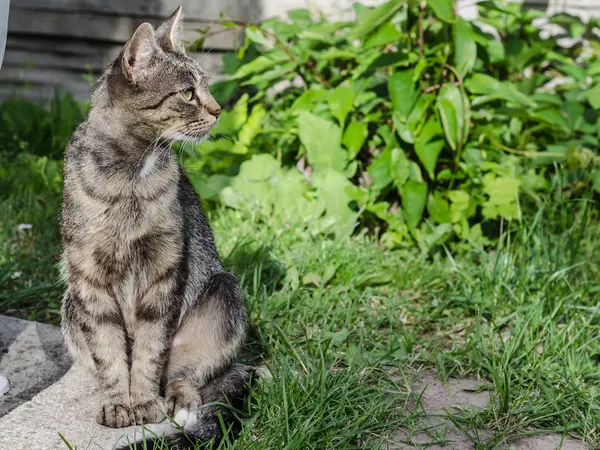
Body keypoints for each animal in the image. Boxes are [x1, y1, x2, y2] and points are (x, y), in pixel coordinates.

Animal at [59, 5, 251, 448]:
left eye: (206, 86)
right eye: (188, 93)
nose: (218, 110)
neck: (132, 173)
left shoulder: (163, 269)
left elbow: (149, 350)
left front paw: (143, 403)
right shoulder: (88, 277)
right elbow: (110, 352)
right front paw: (118, 404)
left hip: (224, 293)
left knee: (186, 374)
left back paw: (178, 399)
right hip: (70, 306)